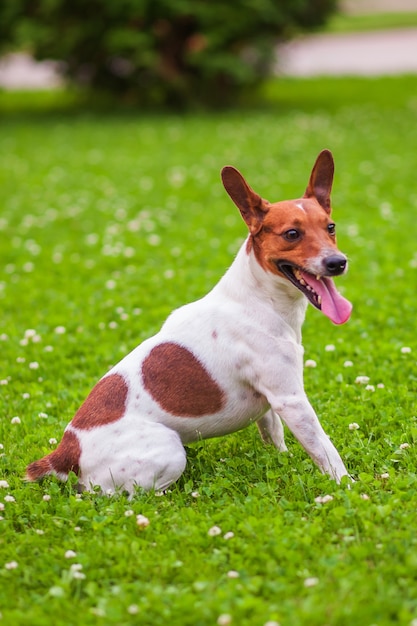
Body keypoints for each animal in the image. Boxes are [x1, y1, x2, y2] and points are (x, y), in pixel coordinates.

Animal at [26, 150, 352, 492]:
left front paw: (282, 459)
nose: (338, 262)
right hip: (169, 450)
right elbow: (325, 451)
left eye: (331, 227)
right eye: (292, 234)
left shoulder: (272, 402)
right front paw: (349, 486)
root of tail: (66, 451)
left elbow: (273, 434)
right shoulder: (292, 401)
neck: (260, 300)